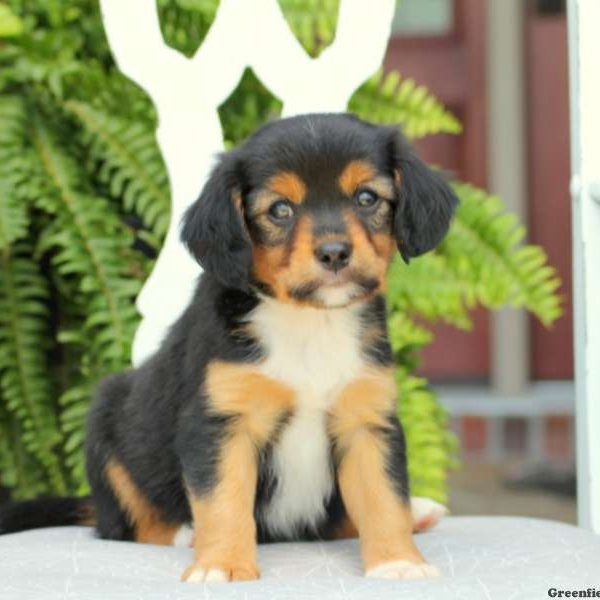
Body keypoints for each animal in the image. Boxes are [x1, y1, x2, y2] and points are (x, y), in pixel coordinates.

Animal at [0, 112, 454, 580]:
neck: (309, 321)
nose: (334, 253)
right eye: (280, 209)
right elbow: (223, 502)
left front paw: (397, 562)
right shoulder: (221, 422)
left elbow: (383, 498)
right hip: (107, 428)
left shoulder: (365, 419)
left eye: (366, 198)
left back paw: (418, 513)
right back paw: (185, 533)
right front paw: (221, 565)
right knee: (122, 525)